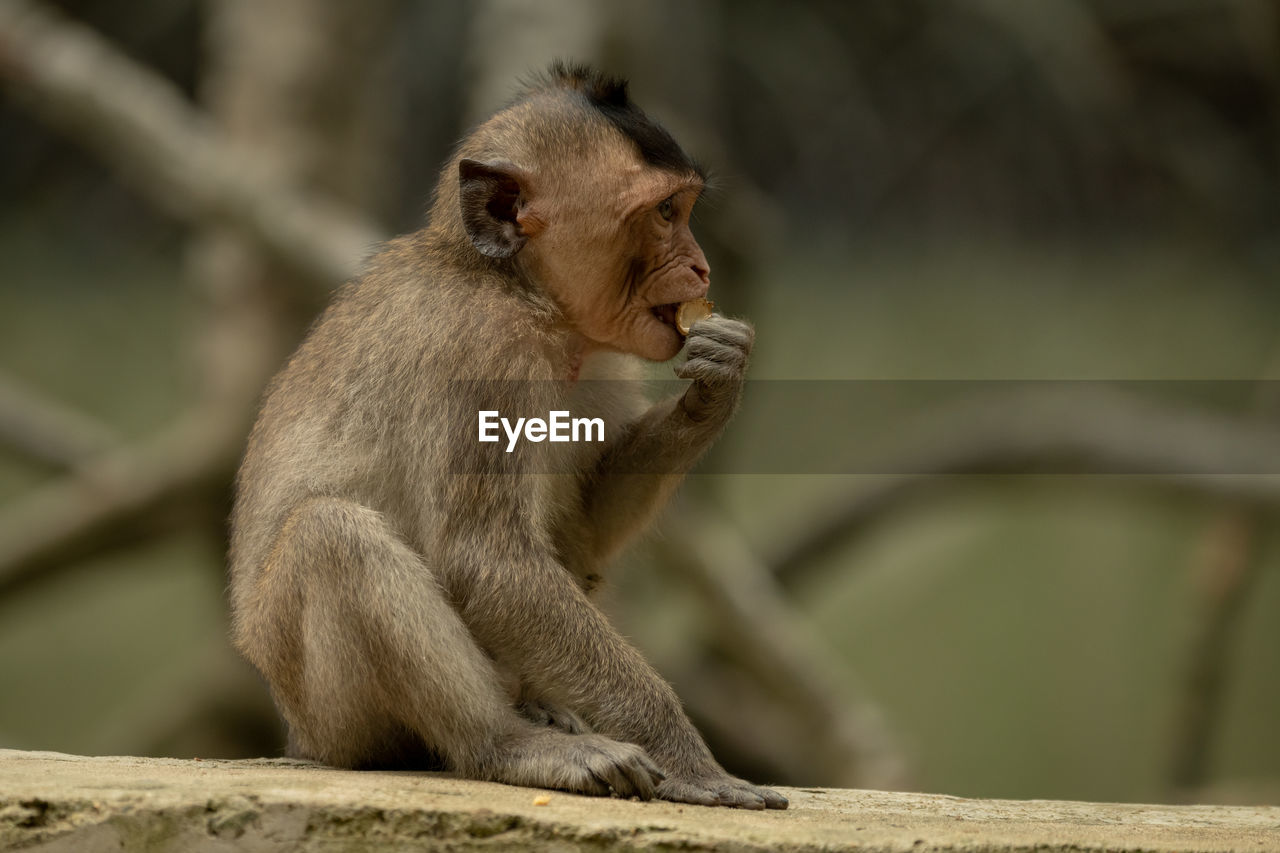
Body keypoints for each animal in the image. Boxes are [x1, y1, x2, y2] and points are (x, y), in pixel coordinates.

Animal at [231, 63, 788, 809]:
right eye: (666, 213)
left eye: (685, 208)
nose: (701, 269)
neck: (519, 289)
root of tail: (302, 738)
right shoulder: (486, 351)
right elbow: (487, 562)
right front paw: (692, 760)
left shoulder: (600, 363)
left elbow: (581, 532)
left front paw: (716, 382)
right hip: (331, 715)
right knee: (331, 535)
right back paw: (507, 743)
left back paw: (540, 711)